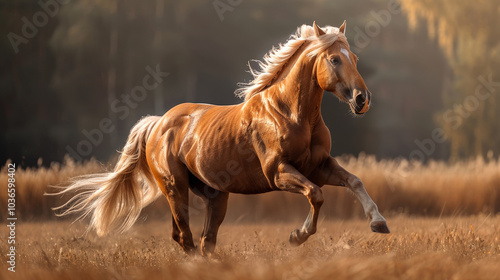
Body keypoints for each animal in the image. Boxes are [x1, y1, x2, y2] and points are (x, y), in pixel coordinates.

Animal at [55, 21, 390, 258]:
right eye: (334, 60)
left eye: (354, 58)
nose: (362, 99)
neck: (290, 114)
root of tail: (157, 123)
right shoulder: (279, 172)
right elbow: (316, 195)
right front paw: (297, 236)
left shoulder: (319, 166)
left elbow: (354, 181)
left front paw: (379, 223)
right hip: (175, 188)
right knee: (185, 236)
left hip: (216, 196)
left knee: (204, 240)